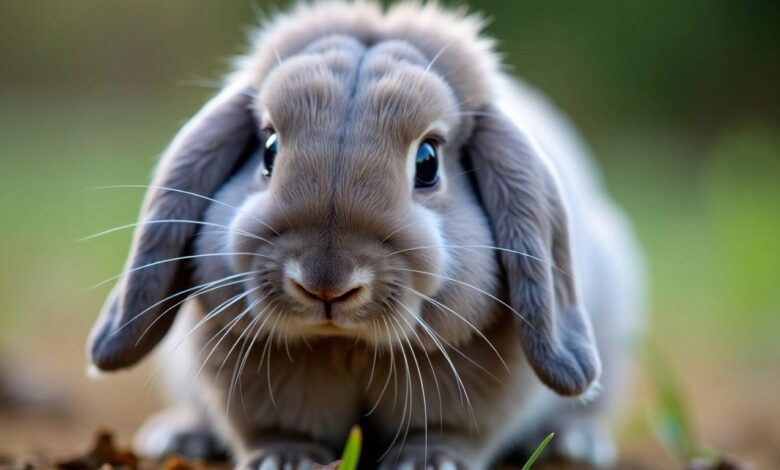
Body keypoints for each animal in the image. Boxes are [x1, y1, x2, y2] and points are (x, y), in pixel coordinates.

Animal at [87, 1, 644, 468]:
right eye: (268, 149)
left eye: (428, 161)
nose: (326, 285)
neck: (346, 345)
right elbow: (274, 427)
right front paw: (284, 461)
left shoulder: (474, 389)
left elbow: (450, 432)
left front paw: (429, 464)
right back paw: (179, 437)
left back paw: (575, 444)